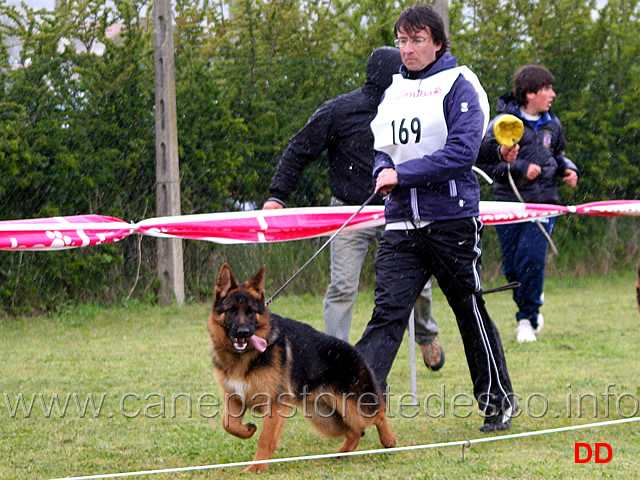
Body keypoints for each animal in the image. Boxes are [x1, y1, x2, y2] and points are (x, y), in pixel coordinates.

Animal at [208, 264, 398, 470]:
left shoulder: (275, 404)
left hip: (353, 407)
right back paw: (342, 453)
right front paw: (248, 430)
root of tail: (355, 351)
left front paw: (257, 467)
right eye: (232, 310)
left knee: (378, 414)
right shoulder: (234, 398)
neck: (243, 357)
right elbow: (228, 425)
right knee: (355, 431)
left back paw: (389, 441)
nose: (244, 332)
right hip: (323, 418)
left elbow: (265, 438)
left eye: (251, 312)